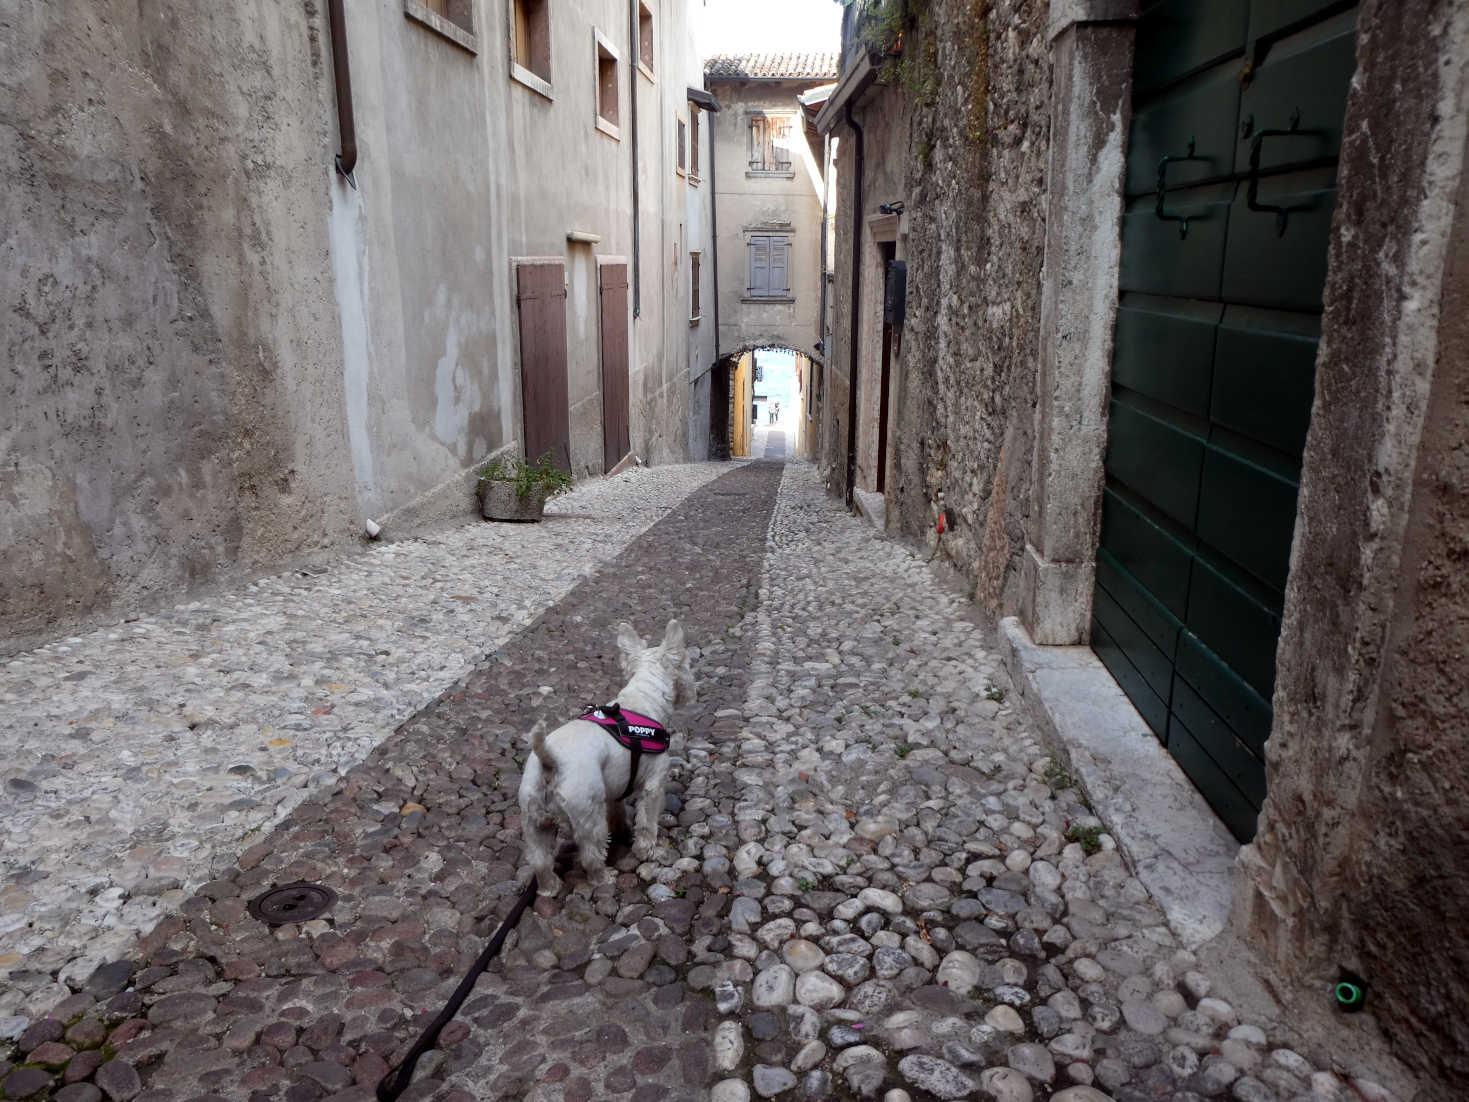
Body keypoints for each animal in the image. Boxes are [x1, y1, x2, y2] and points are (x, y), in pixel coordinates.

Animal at [520, 622, 696, 899]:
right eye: (687, 663)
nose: (693, 689)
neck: (643, 699)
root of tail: (549, 762)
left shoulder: (613, 789)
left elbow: (618, 810)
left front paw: (623, 830)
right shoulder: (654, 784)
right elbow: (647, 821)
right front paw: (646, 850)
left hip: (534, 822)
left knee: (540, 861)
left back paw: (550, 888)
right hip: (588, 817)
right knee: (591, 855)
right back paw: (604, 878)